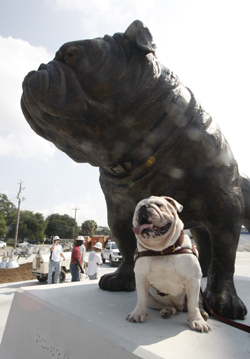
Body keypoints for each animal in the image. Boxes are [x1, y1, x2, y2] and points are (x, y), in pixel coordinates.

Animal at [127, 195, 211, 334]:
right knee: (172, 306)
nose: (144, 207)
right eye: (138, 208)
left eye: (159, 205)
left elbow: (193, 305)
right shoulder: (141, 278)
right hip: (153, 300)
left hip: (199, 287)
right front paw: (138, 313)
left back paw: (202, 313)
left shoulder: (193, 280)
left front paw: (197, 320)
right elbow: (141, 299)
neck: (162, 250)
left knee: (197, 303)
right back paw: (168, 310)